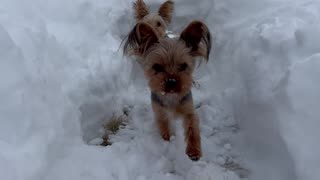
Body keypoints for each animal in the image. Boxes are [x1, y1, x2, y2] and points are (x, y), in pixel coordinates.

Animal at [124, 20, 211, 160]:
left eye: (184, 66)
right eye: (157, 67)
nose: (171, 81)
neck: (171, 96)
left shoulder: (188, 109)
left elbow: (192, 126)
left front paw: (194, 151)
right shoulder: (159, 111)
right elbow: (163, 125)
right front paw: (167, 139)